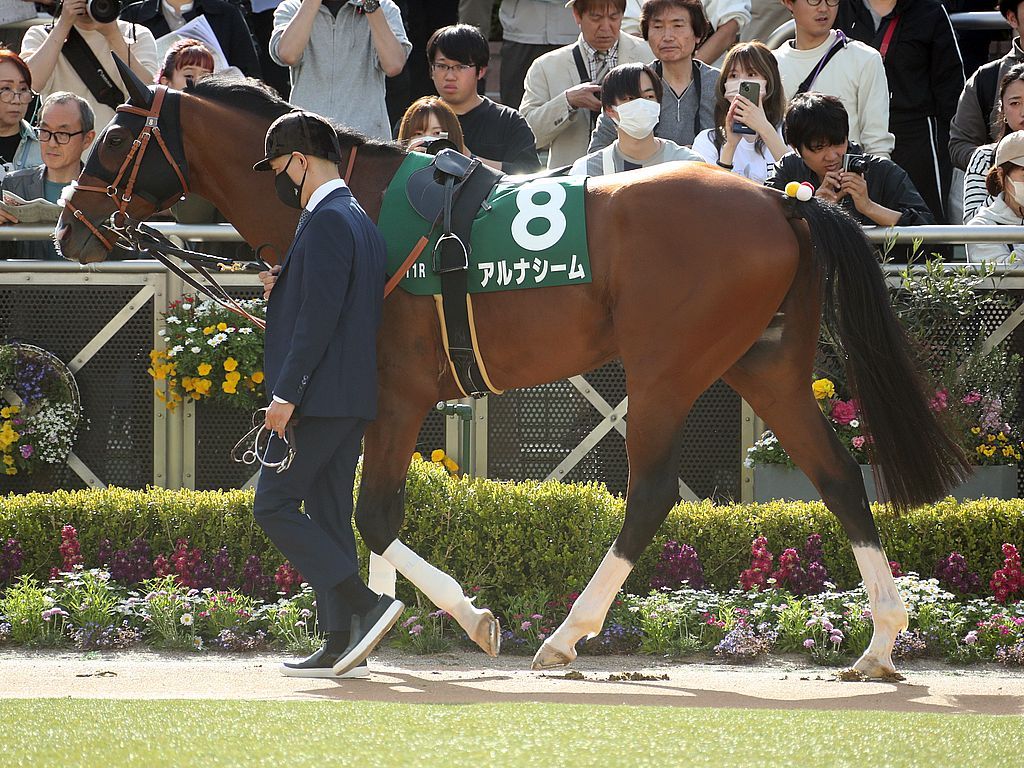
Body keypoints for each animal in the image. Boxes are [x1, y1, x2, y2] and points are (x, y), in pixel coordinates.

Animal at [56, 64, 971, 678]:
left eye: (114, 136)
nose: (68, 224)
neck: (351, 203)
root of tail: (786, 199)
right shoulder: (366, 405)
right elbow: (354, 519)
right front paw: (366, 630)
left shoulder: (399, 395)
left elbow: (375, 515)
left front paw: (464, 618)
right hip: (765, 365)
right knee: (839, 475)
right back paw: (881, 640)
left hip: (666, 369)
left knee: (651, 494)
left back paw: (567, 634)